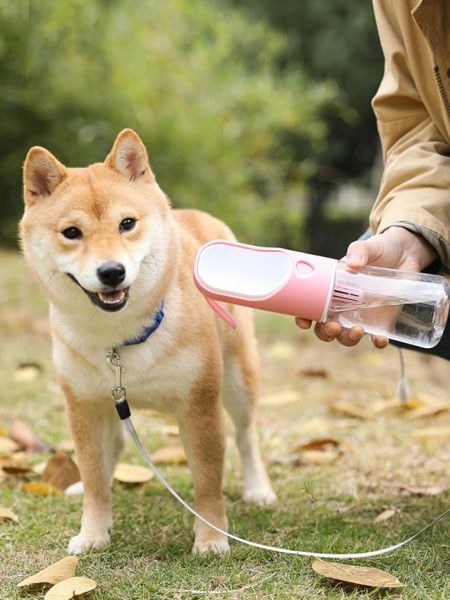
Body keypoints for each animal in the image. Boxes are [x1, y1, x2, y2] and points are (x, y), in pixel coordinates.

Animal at [20, 129, 274, 556]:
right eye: (72, 233)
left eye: (127, 224)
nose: (111, 271)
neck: (120, 340)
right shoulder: (84, 407)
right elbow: (95, 479)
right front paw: (93, 532)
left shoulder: (200, 406)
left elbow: (208, 483)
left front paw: (211, 538)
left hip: (239, 378)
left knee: (246, 435)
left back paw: (258, 488)